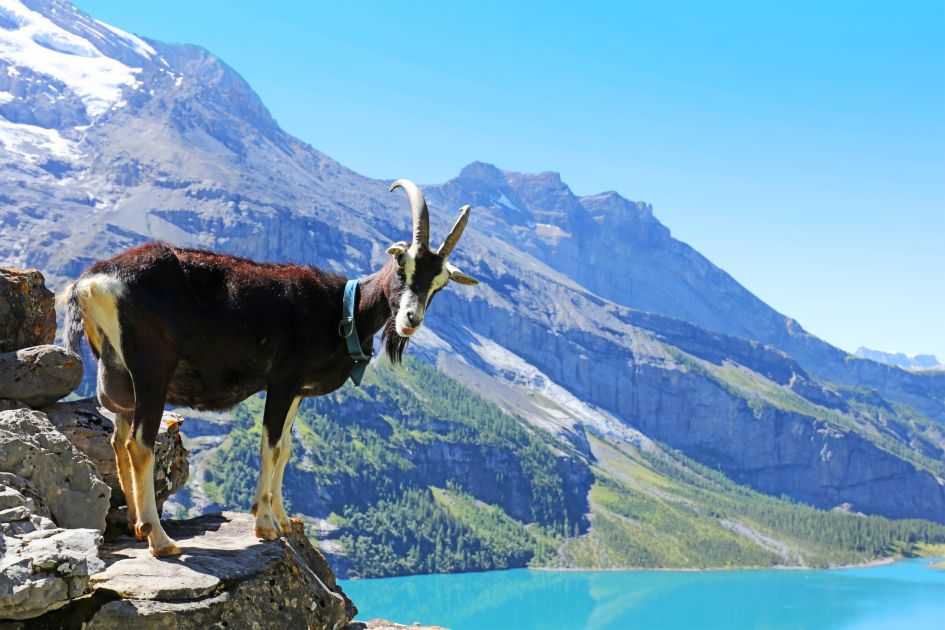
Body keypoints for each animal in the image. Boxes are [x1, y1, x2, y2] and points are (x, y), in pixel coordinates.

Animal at [62, 181, 476, 556]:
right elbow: (270, 445)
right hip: (151, 370)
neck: (341, 309)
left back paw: (136, 525)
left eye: (440, 284)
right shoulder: (282, 379)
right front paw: (265, 524)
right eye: (401, 265)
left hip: (120, 376)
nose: (410, 320)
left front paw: (284, 519)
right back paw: (160, 539)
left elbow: (287, 448)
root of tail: (90, 281)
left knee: (118, 440)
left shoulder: (297, 391)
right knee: (140, 443)